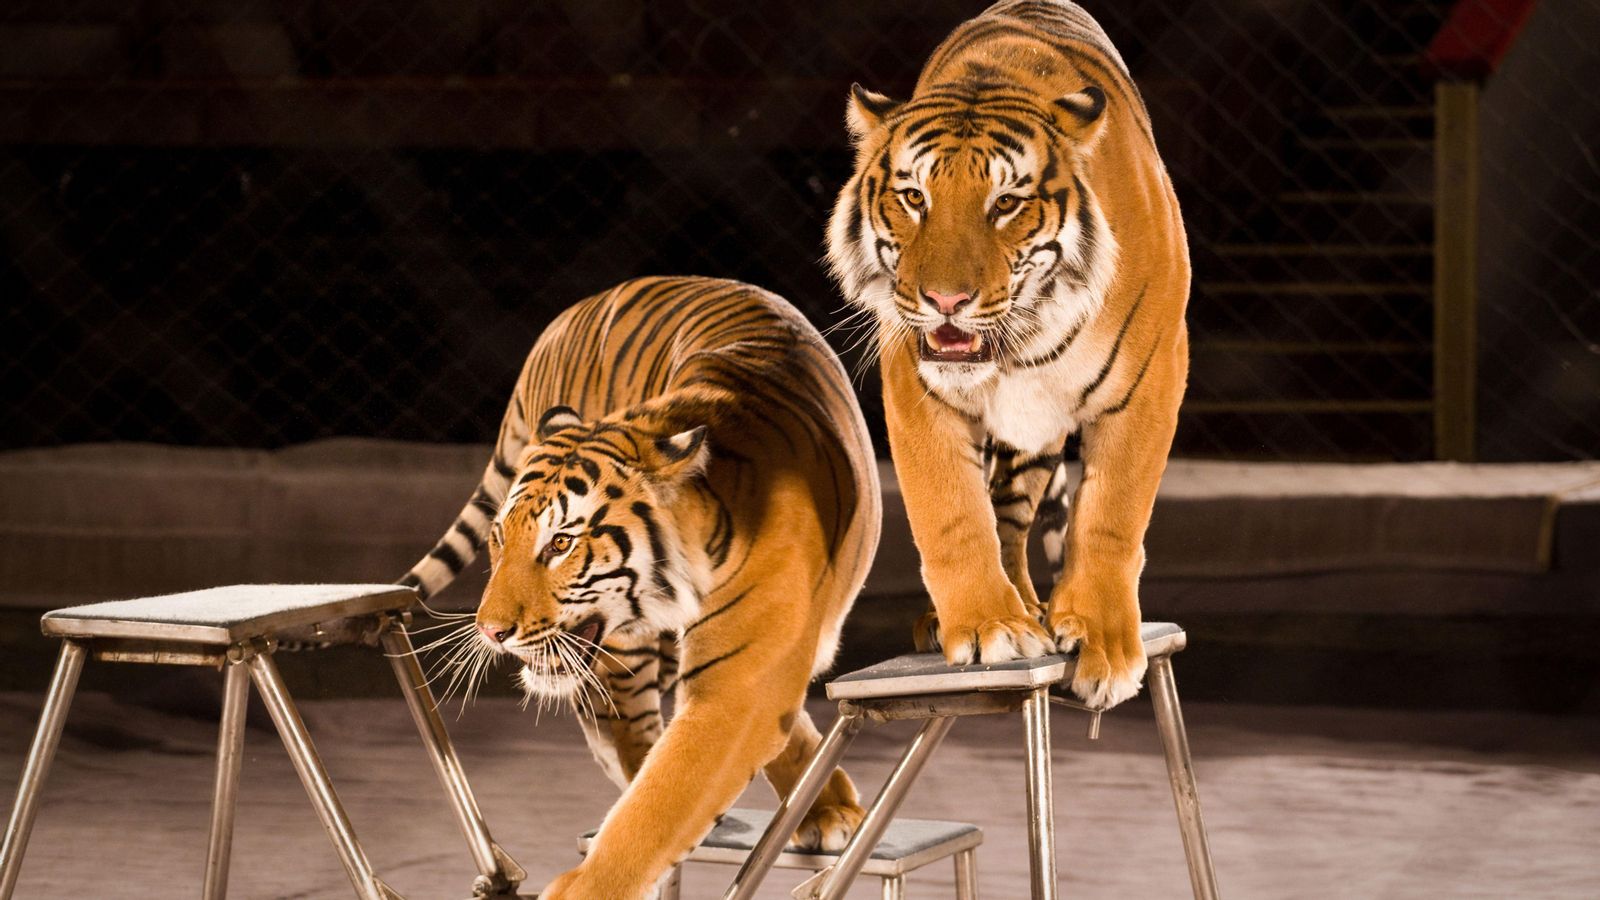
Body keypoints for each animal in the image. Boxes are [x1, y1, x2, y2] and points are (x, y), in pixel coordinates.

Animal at [400, 276, 881, 900]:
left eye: (560, 543)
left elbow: (662, 802)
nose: (491, 631)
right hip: (623, 651)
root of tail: (565, 317)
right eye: (500, 537)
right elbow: (658, 795)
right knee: (625, 730)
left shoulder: (742, 681)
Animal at [825, 0, 1189, 708]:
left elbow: (1112, 513)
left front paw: (1103, 643)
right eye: (914, 197)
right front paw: (987, 625)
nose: (945, 300)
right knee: (1001, 518)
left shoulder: (1151, 379)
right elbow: (952, 514)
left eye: (1006, 204)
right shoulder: (914, 388)